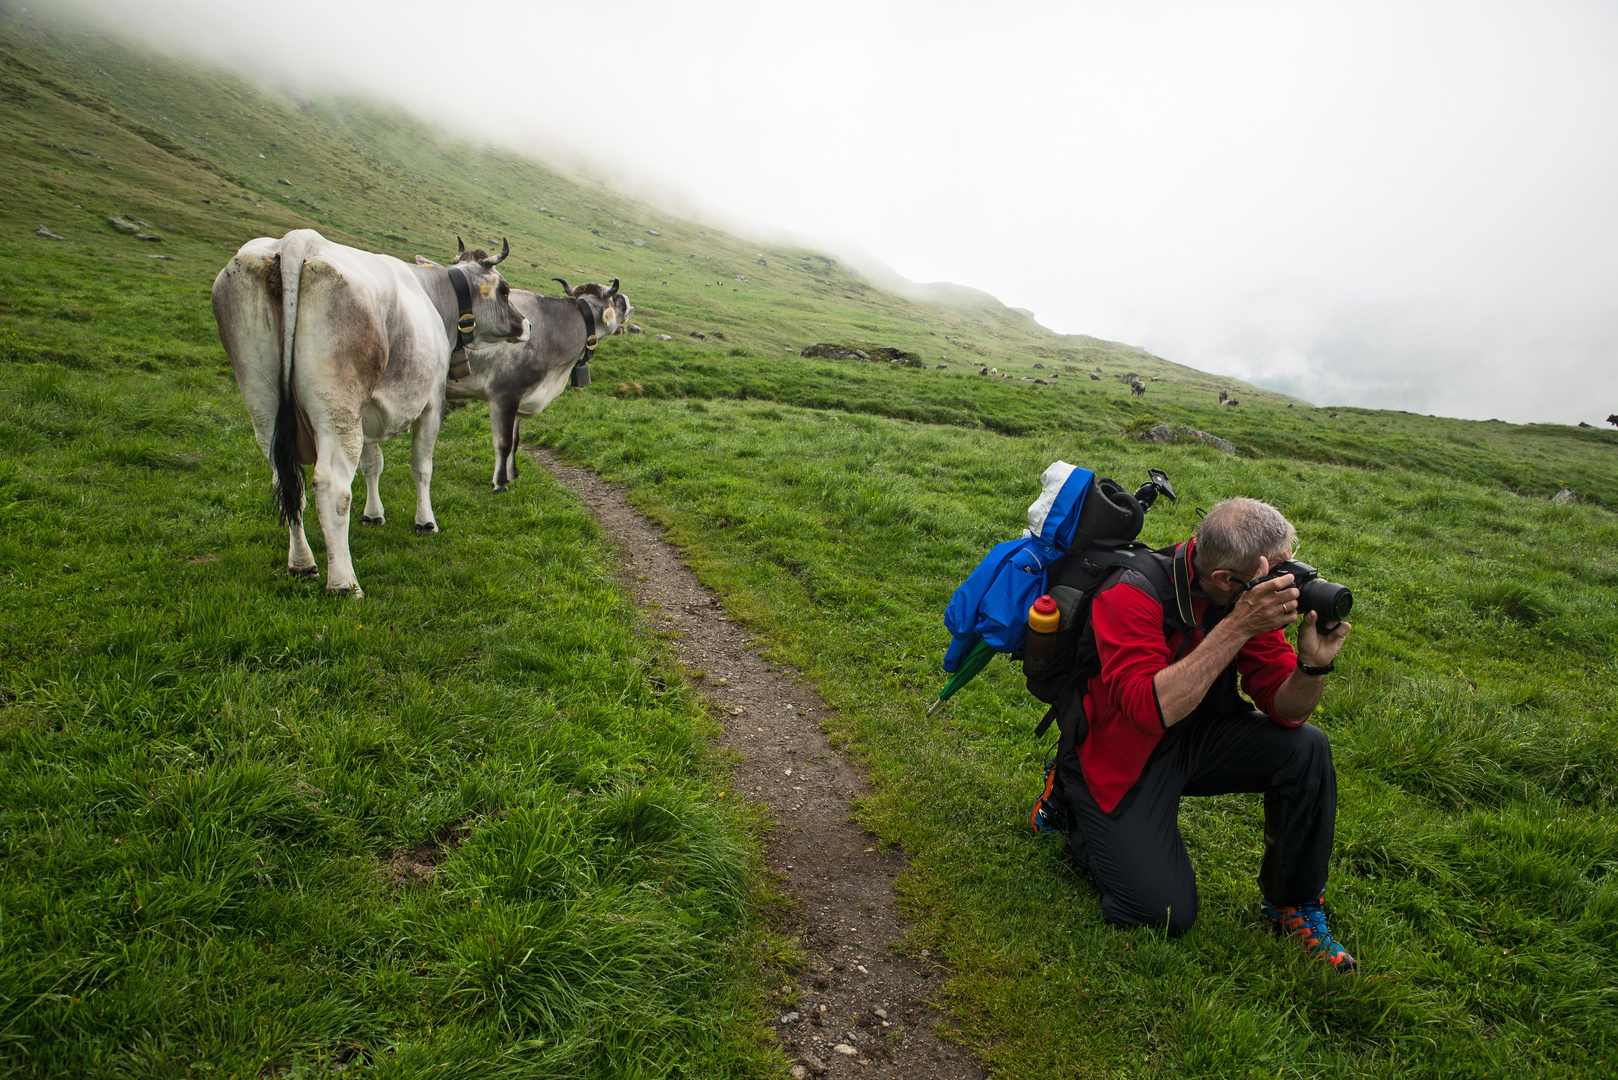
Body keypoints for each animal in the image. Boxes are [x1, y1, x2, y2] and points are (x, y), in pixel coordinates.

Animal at [213, 229, 530, 599]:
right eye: (504, 289)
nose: (526, 324)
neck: (436, 297)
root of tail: (297, 241)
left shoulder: (365, 416)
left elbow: (372, 464)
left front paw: (373, 515)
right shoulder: (432, 402)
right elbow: (421, 467)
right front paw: (425, 522)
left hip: (264, 405)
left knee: (286, 480)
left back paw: (302, 564)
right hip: (338, 409)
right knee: (332, 488)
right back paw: (343, 584)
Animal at [446, 263, 627, 492]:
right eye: (616, 299)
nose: (627, 301)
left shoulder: (519, 397)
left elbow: (515, 441)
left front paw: (513, 475)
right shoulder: (504, 393)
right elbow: (503, 443)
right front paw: (500, 483)